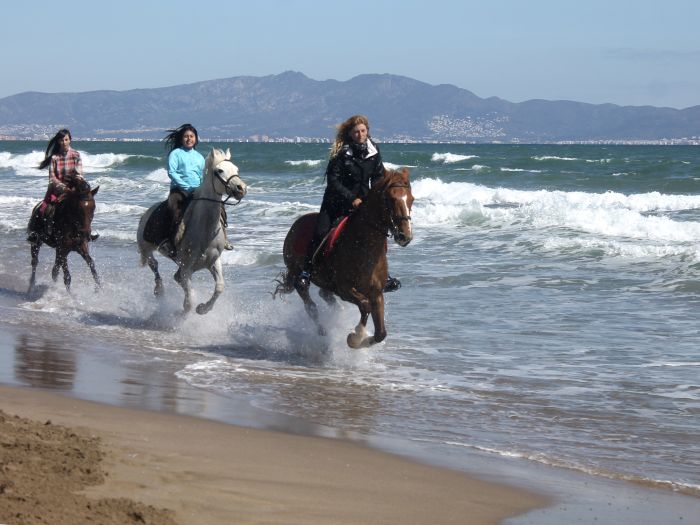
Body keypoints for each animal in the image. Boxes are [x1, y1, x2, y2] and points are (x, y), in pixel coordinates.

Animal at [136, 145, 246, 314]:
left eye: (236, 169)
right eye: (219, 170)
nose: (241, 188)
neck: (204, 230)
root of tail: (147, 213)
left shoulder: (213, 261)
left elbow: (219, 287)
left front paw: (203, 309)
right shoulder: (186, 267)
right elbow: (189, 301)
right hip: (146, 248)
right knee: (154, 264)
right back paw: (159, 290)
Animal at [274, 169, 416, 348]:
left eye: (411, 199)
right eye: (390, 199)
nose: (405, 236)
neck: (364, 247)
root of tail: (296, 224)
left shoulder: (377, 293)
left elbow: (380, 333)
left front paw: (361, 339)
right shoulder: (345, 290)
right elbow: (365, 306)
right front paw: (355, 337)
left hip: (324, 281)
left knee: (325, 295)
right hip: (298, 275)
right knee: (310, 306)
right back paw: (323, 332)